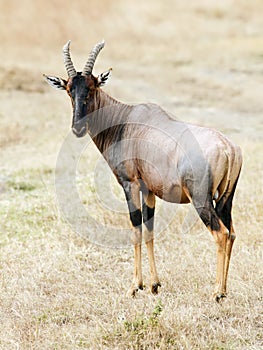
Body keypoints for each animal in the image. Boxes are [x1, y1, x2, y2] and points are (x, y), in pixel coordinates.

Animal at [43, 39, 243, 300]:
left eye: (92, 87)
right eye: (68, 89)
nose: (77, 128)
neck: (125, 121)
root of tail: (227, 148)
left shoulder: (131, 183)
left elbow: (135, 227)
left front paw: (135, 286)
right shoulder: (149, 189)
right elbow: (149, 230)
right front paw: (154, 285)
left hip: (201, 199)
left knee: (221, 234)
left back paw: (217, 293)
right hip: (225, 199)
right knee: (231, 233)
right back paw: (225, 291)